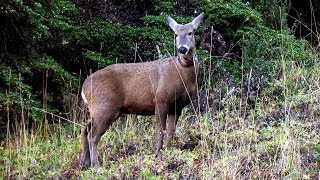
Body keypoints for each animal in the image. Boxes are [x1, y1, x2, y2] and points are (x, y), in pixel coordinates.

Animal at [81, 12, 204, 169]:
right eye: (176, 34)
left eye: (191, 32)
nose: (182, 49)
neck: (182, 75)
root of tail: (84, 88)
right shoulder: (160, 100)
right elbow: (161, 130)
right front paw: (157, 154)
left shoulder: (177, 106)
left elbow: (171, 130)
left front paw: (168, 150)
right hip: (105, 108)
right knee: (93, 135)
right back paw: (96, 166)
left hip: (97, 111)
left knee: (85, 130)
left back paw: (85, 162)